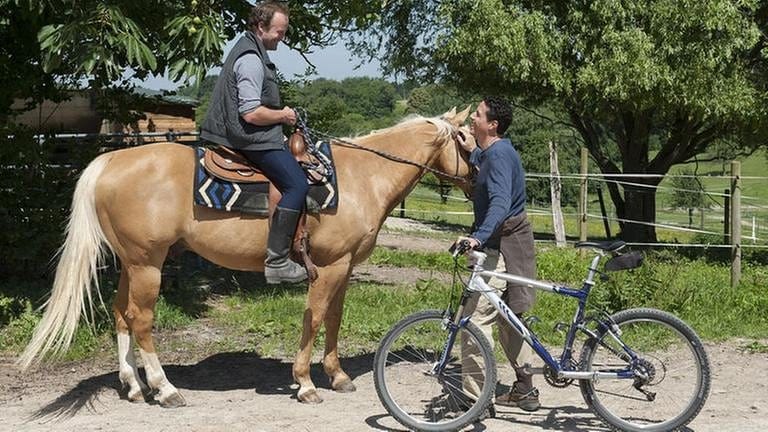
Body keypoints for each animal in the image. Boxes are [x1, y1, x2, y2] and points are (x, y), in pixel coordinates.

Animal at [18, 106, 474, 406]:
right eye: (469, 142)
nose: (479, 178)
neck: (362, 176)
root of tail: (109, 160)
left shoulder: (343, 267)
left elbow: (334, 319)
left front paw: (338, 376)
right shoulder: (328, 267)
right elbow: (314, 319)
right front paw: (306, 384)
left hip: (133, 263)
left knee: (120, 314)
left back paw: (134, 385)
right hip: (148, 264)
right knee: (141, 319)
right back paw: (165, 389)